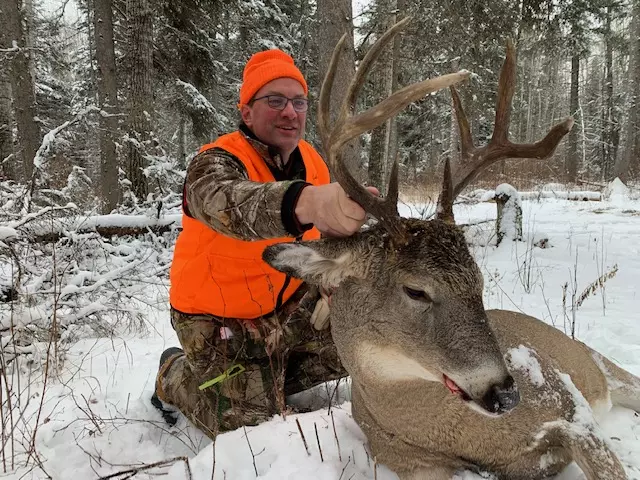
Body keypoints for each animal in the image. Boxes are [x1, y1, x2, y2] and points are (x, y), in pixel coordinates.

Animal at [263, 17, 640, 480]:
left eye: (478, 281)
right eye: (416, 290)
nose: (504, 392)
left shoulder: (573, 412)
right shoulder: (412, 463)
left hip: (600, 364)